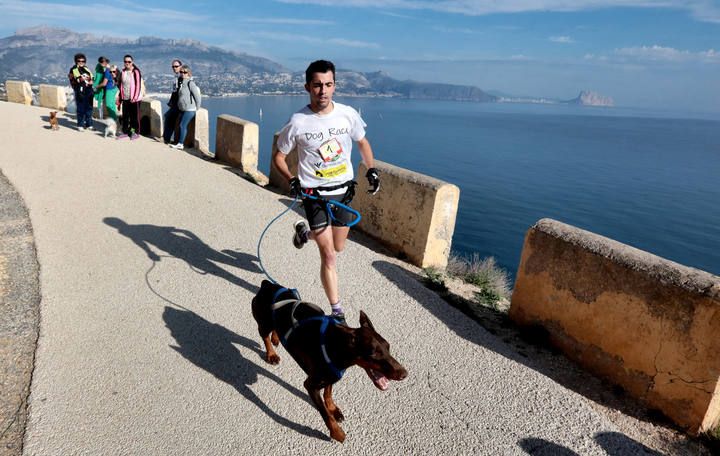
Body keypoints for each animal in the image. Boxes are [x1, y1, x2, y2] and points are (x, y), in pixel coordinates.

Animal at [252, 278, 408, 442]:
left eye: (388, 347)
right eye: (374, 353)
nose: (404, 374)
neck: (337, 344)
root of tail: (267, 284)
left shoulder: (332, 374)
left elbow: (328, 393)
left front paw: (333, 409)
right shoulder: (311, 385)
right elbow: (324, 413)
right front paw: (337, 432)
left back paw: (276, 338)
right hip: (264, 322)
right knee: (264, 335)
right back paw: (271, 354)